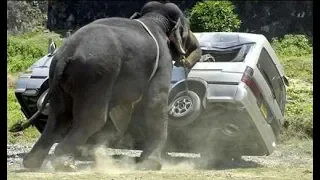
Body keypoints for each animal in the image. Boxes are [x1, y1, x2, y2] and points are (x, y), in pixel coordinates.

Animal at [21, 1, 200, 172]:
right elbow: (155, 102)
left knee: (59, 117)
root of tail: (66, 54)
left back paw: (32, 163)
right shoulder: (162, 60)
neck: (154, 18)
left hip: (59, 79)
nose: (185, 60)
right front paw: (150, 165)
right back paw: (64, 164)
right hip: (95, 75)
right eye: (187, 29)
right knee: (92, 119)